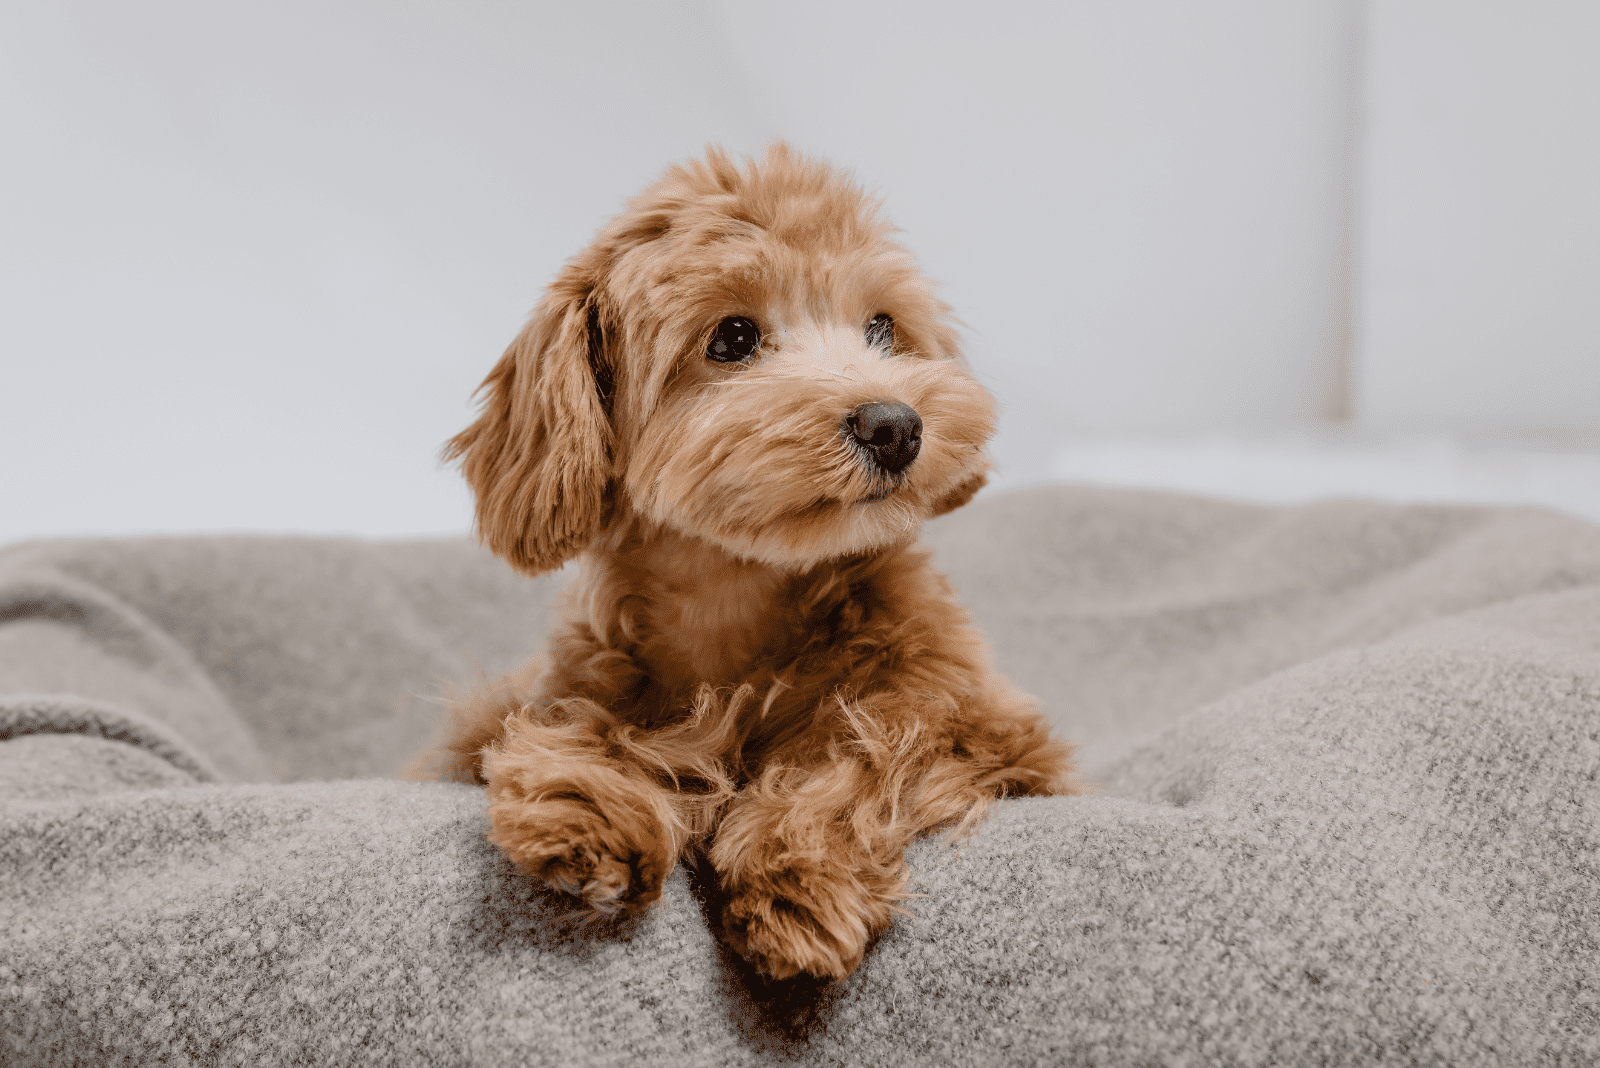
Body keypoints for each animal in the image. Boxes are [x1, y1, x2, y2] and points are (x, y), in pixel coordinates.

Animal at [428, 146, 1075, 978]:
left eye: (881, 327)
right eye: (733, 338)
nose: (895, 424)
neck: (738, 595)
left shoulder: (997, 738)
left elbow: (877, 742)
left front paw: (796, 874)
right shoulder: (556, 689)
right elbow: (578, 725)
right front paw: (591, 803)